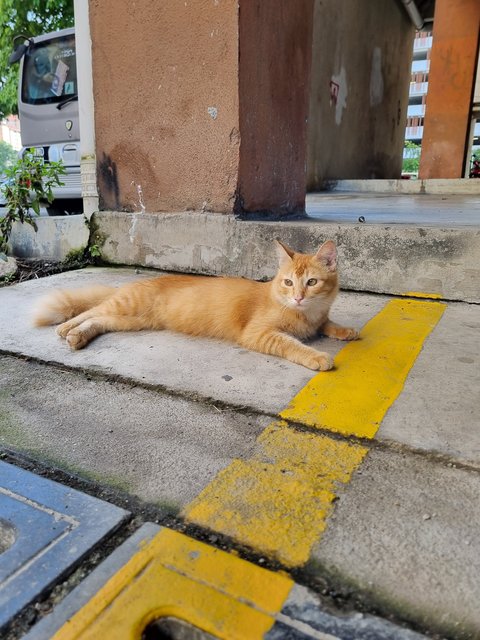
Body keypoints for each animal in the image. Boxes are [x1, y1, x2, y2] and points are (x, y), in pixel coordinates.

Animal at [32, 240, 356, 370]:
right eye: (288, 283)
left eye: (311, 282)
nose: (298, 296)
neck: (305, 313)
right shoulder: (260, 333)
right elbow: (294, 345)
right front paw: (318, 357)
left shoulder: (318, 318)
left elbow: (328, 324)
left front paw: (346, 331)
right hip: (124, 307)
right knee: (89, 311)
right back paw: (66, 328)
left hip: (130, 320)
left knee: (97, 320)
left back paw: (77, 337)